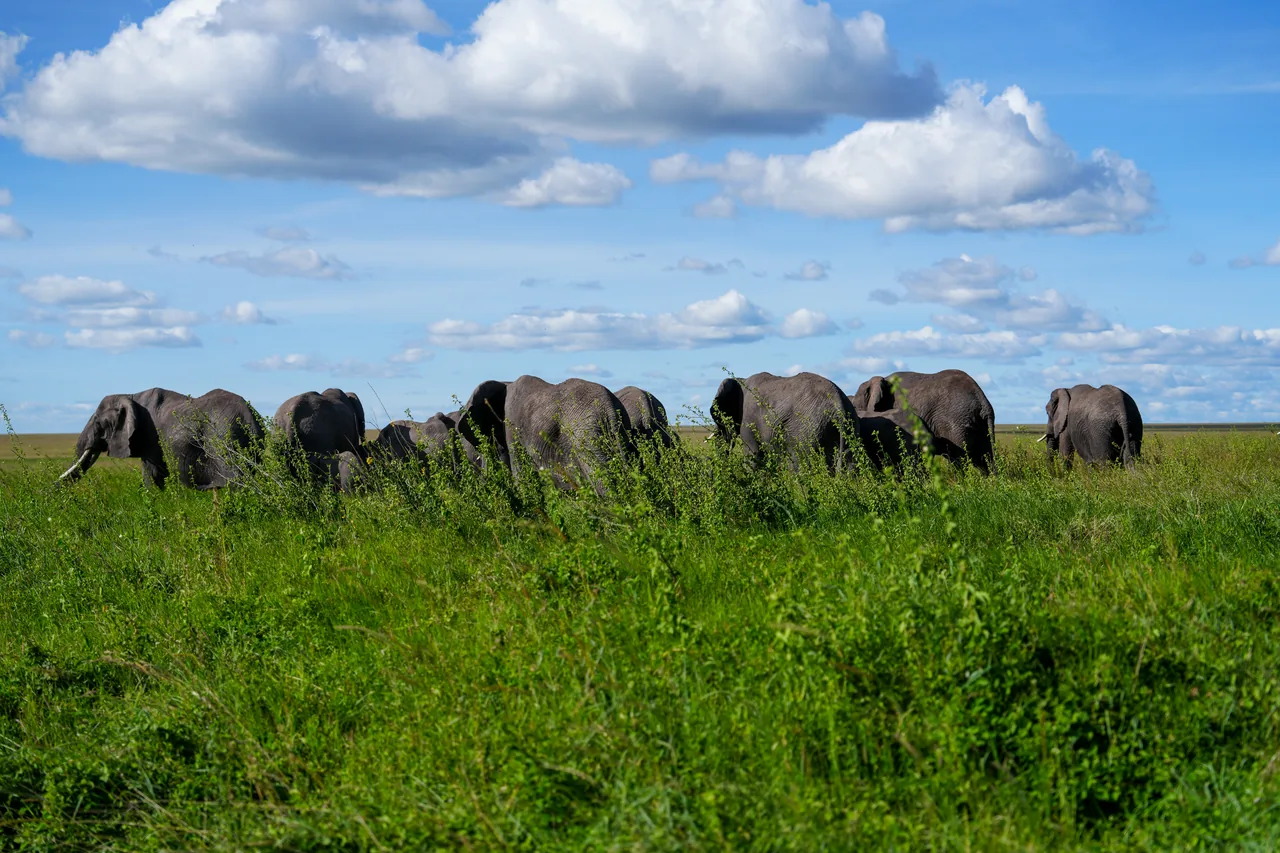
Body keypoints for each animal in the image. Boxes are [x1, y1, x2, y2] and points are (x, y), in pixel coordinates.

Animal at [59, 388, 264, 489]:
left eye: (97, 422)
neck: (130, 395)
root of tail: (249, 415)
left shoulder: (150, 435)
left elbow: (151, 474)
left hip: (221, 434)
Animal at [711, 371, 860, 472]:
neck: (741, 380)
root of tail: (838, 403)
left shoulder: (748, 420)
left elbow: (753, 455)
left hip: (807, 429)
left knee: (799, 464)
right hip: (846, 426)